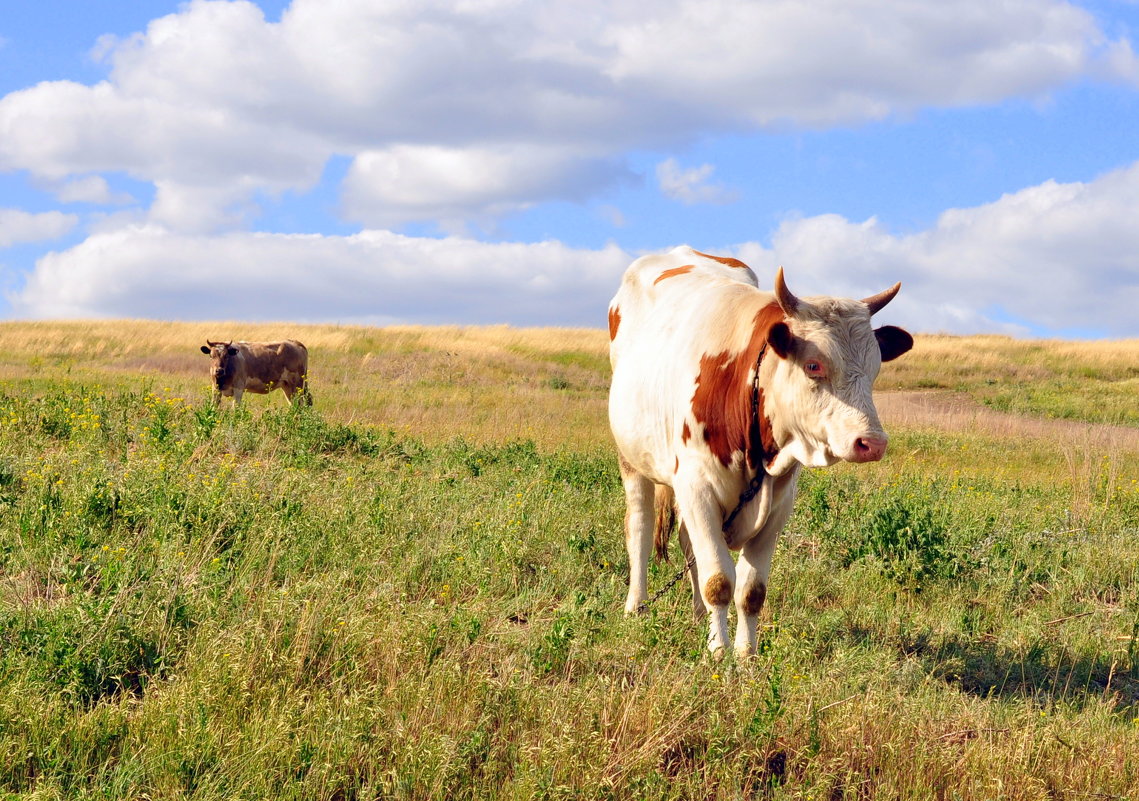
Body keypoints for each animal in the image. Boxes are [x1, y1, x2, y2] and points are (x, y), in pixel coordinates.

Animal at [605, 246, 915, 656]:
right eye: (813, 365)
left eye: (875, 368)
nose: (872, 442)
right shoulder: (697, 487)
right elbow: (719, 580)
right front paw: (719, 652)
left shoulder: (778, 503)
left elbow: (750, 589)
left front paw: (745, 654)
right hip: (632, 461)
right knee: (639, 529)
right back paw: (636, 606)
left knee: (688, 545)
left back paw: (696, 615)